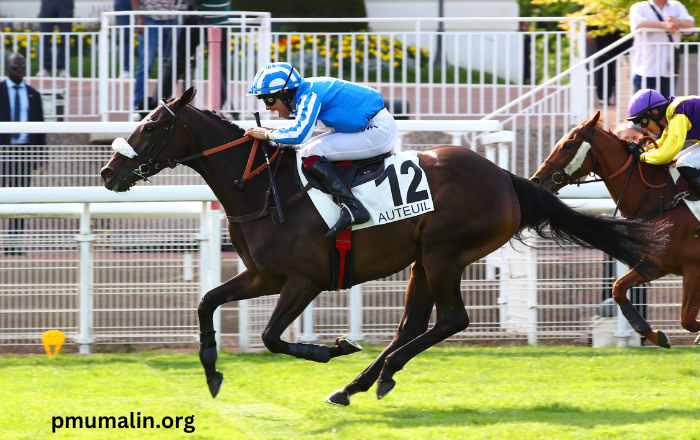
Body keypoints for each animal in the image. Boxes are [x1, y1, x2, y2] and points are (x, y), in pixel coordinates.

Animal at [102, 88, 660, 406]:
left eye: (153, 126)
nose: (108, 173)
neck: (264, 189)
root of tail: (506, 177)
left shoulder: (304, 280)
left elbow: (272, 338)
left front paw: (330, 348)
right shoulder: (263, 275)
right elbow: (206, 302)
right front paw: (213, 370)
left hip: (443, 254)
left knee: (451, 320)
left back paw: (377, 374)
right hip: (421, 261)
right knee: (412, 325)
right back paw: (357, 385)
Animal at [532, 111, 696, 350]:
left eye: (567, 145)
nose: (536, 179)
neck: (661, 199)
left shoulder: (693, 268)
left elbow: (688, 320)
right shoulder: (659, 262)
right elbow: (618, 288)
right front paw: (653, 333)